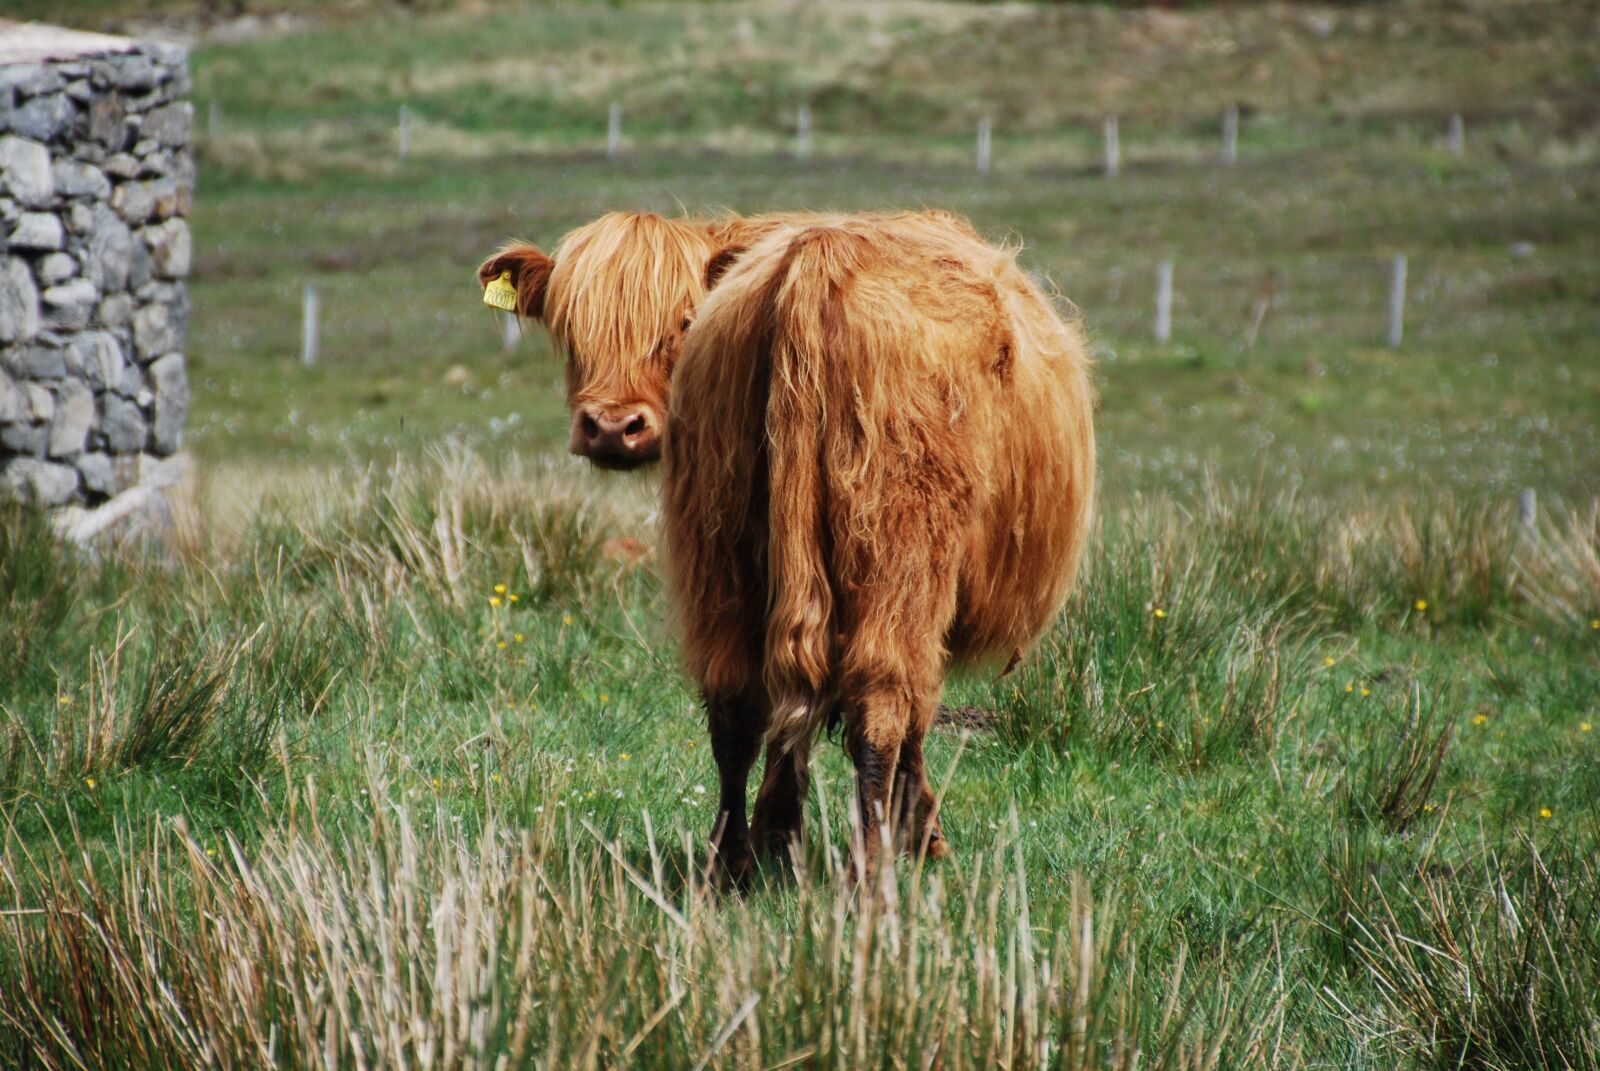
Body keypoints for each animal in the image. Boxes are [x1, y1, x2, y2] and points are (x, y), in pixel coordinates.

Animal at [478, 210, 1095, 881]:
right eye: (570, 329)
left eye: (680, 323)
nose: (613, 427)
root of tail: (819, 256)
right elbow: (914, 717)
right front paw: (923, 835)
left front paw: (780, 835)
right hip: (895, 554)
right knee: (878, 706)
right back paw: (870, 870)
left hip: (721, 542)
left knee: (734, 707)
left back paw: (731, 865)